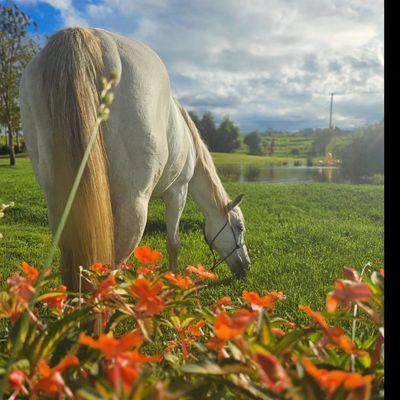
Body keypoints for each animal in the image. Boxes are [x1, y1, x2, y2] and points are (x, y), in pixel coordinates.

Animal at [20, 28, 250, 290]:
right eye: (239, 227)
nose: (246, 266)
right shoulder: (178, 192)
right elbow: (174, 243)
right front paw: (174, 279)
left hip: (60, 202)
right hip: (134, 204)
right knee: (113, 265)